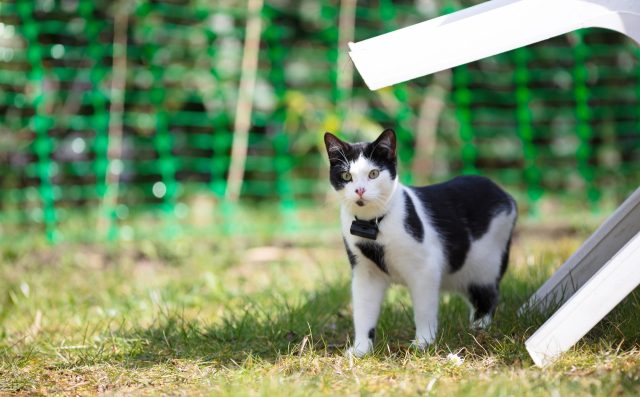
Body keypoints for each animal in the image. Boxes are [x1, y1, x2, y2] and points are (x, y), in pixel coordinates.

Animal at [322, 127, 516, 356]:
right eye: (346, 175)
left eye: (373, 174)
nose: (359, 190)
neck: (372, 222)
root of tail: (505, 195)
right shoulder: (364, 272)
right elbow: (362, 311)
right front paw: (361, 349)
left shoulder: (426, 269)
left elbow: (424, 309)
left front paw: (423, 343)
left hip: (485, 265)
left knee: (488, 295)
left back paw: (479, 328)